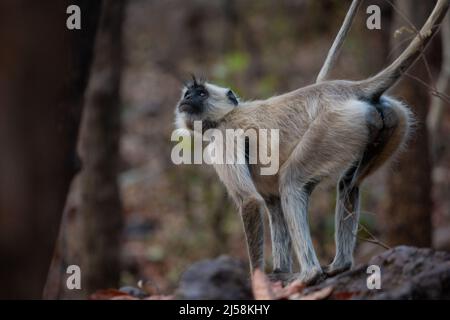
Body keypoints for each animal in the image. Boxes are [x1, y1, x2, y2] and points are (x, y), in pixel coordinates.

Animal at [173, 1, 450, 284]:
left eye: (201, 93)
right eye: (188, 93)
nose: (187, 99)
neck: (225, 115)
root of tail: (344, 88)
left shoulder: (224, 137)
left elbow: (250, 200)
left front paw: (259, 282)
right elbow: (273, 203)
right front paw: (280, 271)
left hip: (333, 124)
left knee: (292, 181)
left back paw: (310, 274)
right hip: (388, 120)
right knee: (348, 184)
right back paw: (339, 265)